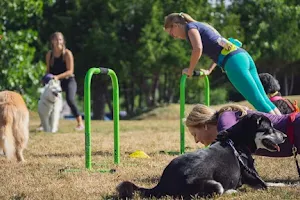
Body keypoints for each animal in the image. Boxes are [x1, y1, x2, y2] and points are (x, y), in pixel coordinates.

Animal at [116, 113, 288, 199]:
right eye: (270, 128)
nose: (285, 136)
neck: (237, 141)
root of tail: (162, 184)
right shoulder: (256, 180)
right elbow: (274, 184)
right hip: (215, 185)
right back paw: (231, 191)